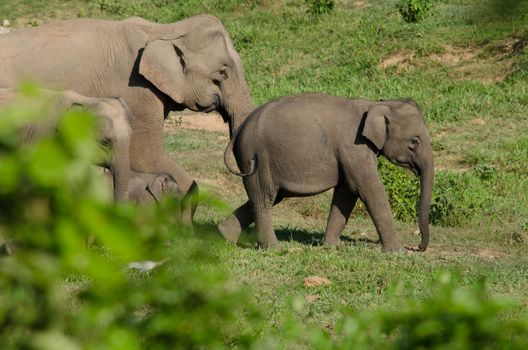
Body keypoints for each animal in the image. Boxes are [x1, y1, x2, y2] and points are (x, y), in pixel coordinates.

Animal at [219, 92, 434, 252]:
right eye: (415, 141)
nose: (418, 247)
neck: (376, 104)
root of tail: (240, 129)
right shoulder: (354, 147)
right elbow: (368, 190)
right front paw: (398, 252)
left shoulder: (348, 155)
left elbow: (347, 193)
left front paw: (331, 247)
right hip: (255, 156)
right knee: (264, 199)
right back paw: (274, 249)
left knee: (267, 197)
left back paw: (224, 236)